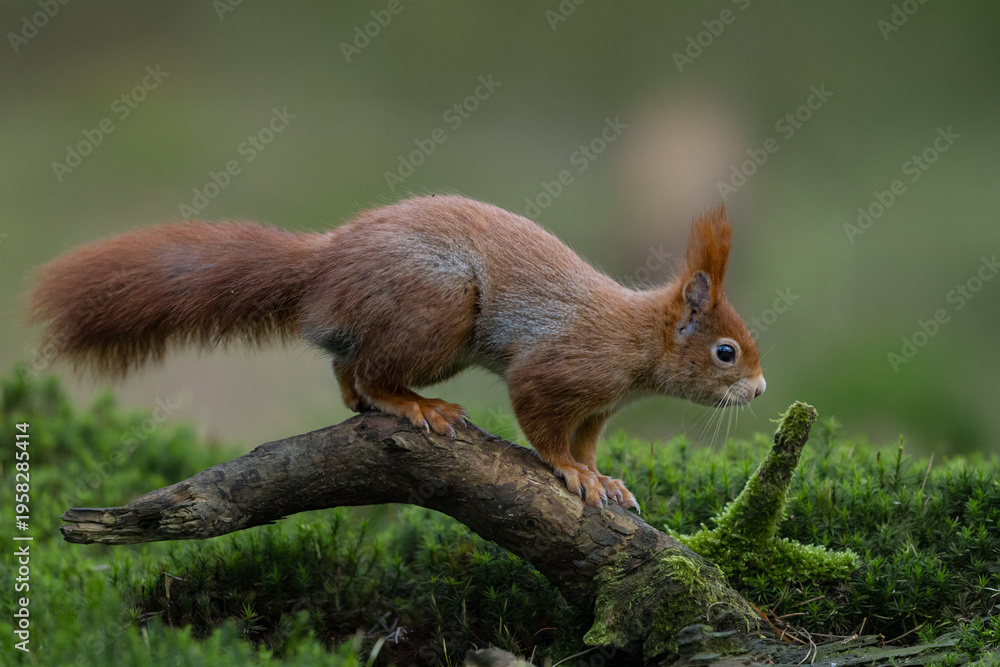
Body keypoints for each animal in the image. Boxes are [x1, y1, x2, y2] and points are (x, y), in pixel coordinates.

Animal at [29, 195, 765, 511]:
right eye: (727, 352)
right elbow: (544, 425)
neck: (635, 339)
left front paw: (600, 476)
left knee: (343, 363)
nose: (759, 390)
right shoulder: (558, 369)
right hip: (438, 310)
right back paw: (414, 406)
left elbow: (585, 442)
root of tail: (325, 266)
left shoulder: (599, 407)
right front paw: (571, 473)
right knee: (374, 369)